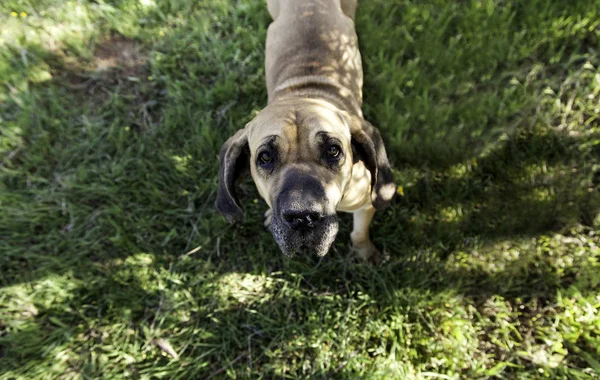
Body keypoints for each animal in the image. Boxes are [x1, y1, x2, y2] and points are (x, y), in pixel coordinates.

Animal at [216, 0, 394, 262]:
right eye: (265, 157)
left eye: (333, 150)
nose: (302, 217)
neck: (305, 92)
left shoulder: (365, 203)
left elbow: (360, 232)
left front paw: (365, 252)